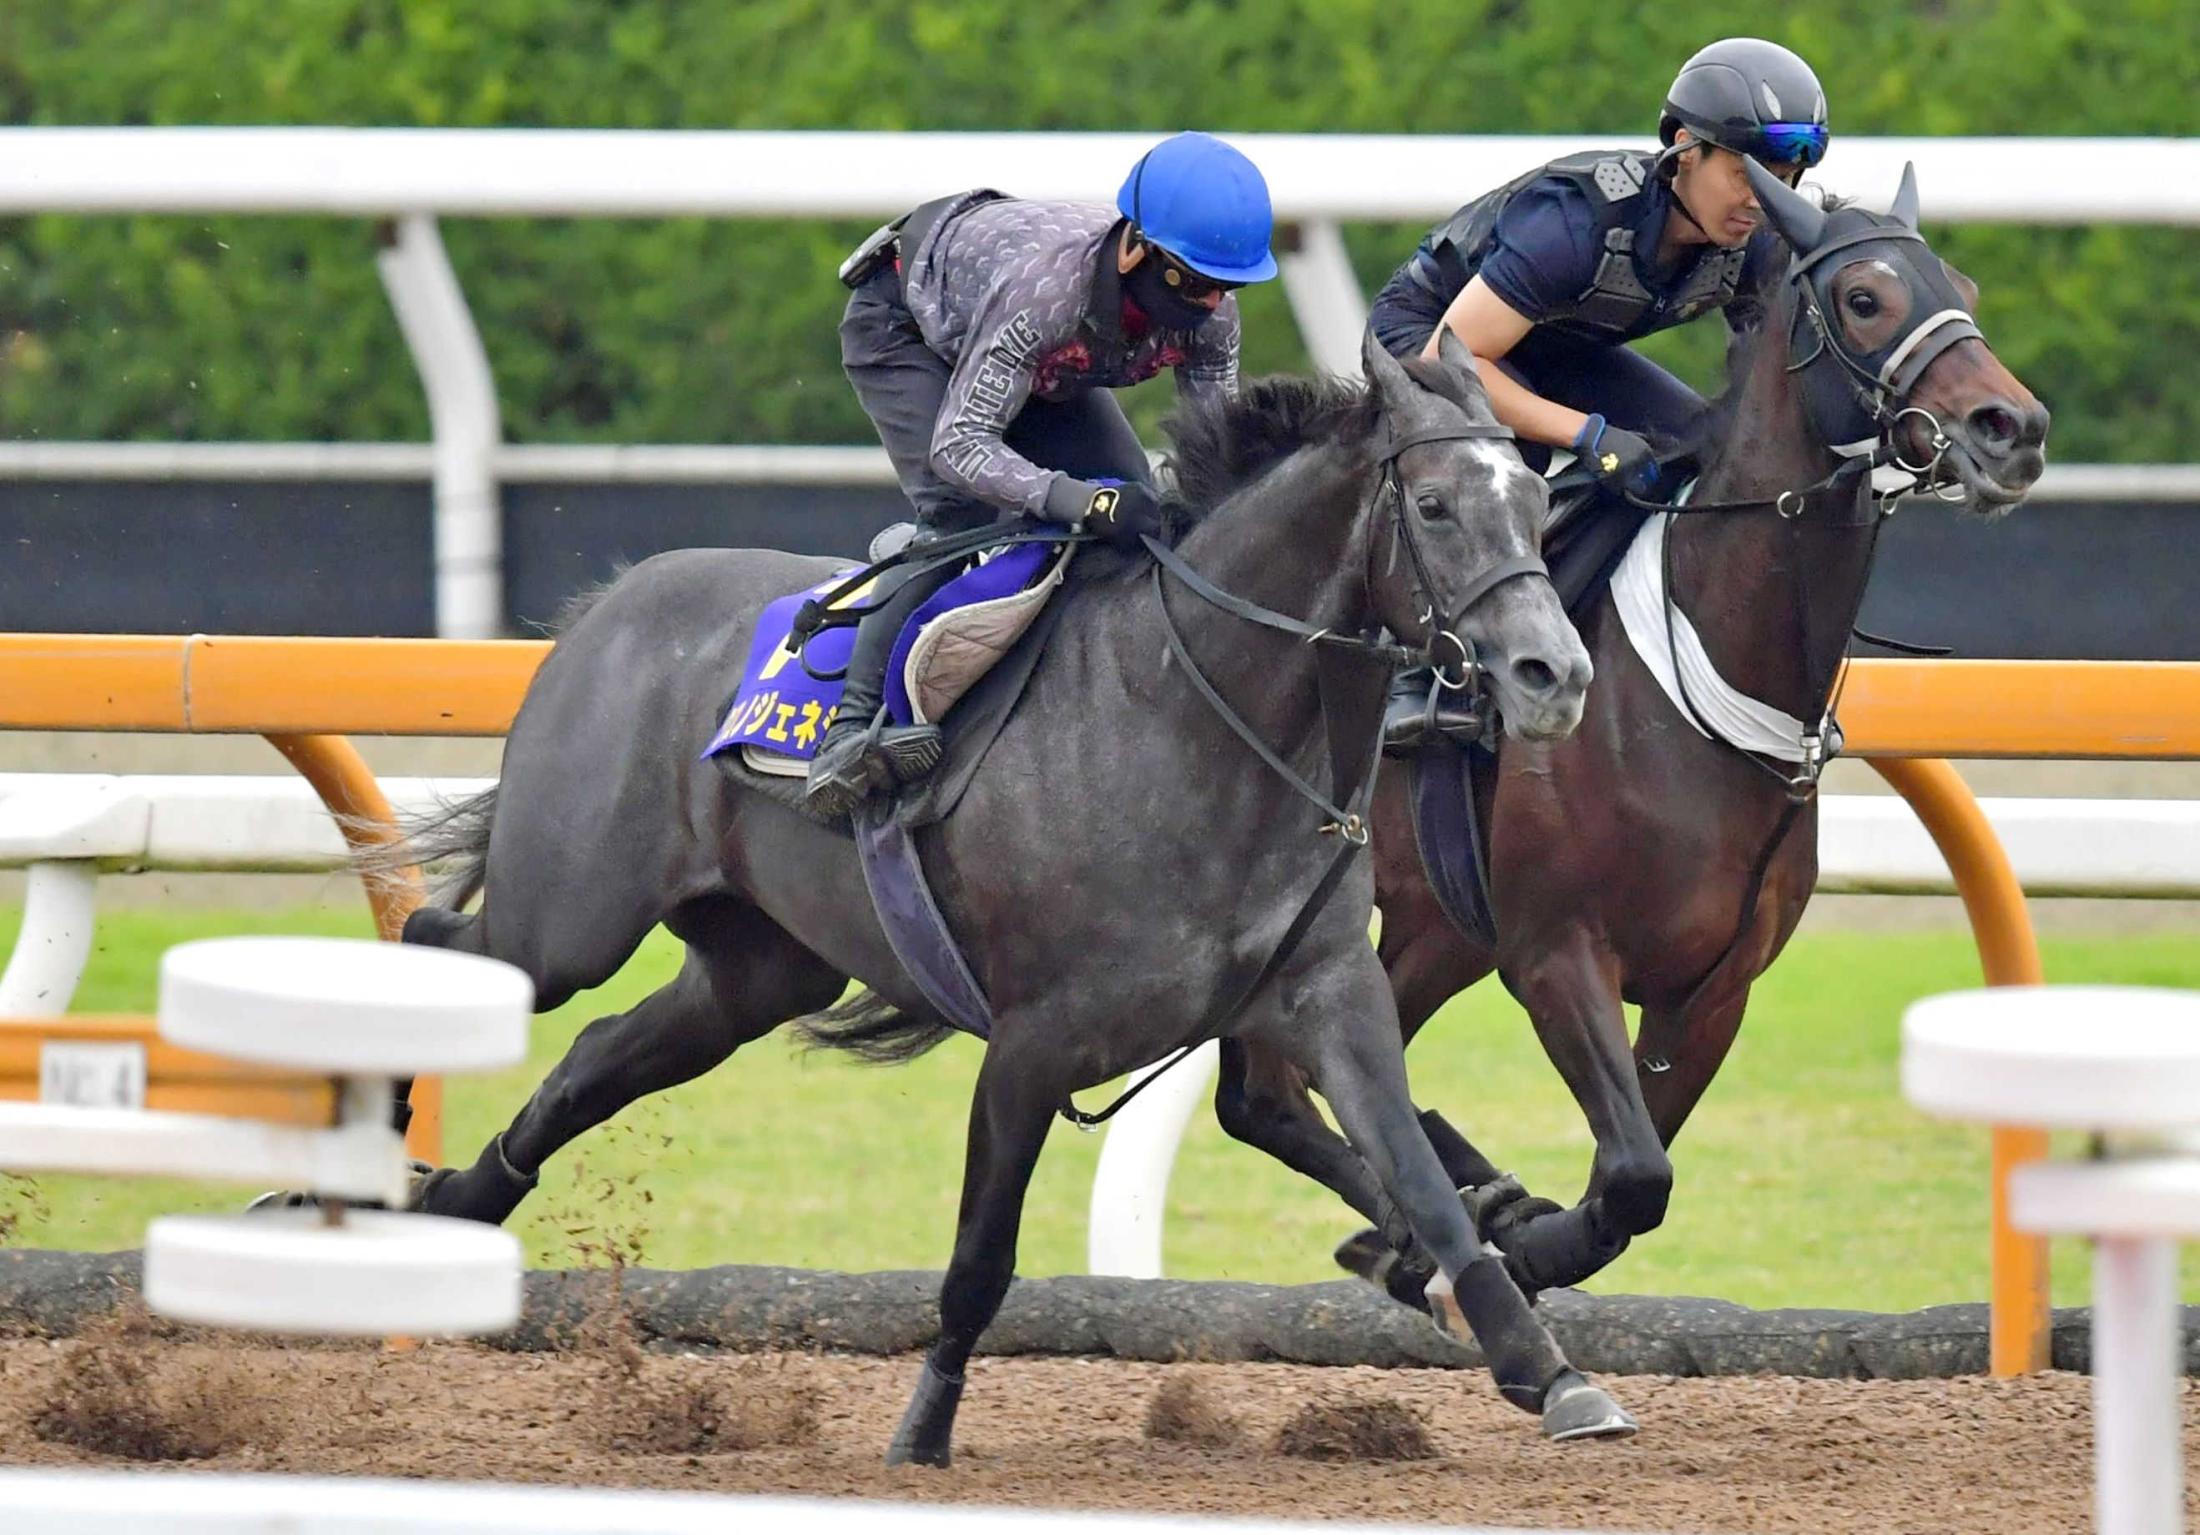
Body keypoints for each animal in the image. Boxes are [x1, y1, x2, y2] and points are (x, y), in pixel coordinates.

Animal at [387, 334, 1645, 1460]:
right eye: (1432, 506)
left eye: (1534, 501)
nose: (1555, 675)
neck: (1196, 720)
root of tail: (606, 604)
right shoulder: (1032, 1044)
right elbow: (981, 1258)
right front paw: (922, 1431)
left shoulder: (1331, 995)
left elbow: (1423, 1184)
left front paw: (1545, 1365)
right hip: (574, 911)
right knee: (445, 937)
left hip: (757, 967)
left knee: (599, 1049)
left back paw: (459, 1197)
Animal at [1214, 158, 2050, 1301]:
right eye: (1864, 298)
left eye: (1957, 281)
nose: (2015, 429)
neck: (1697, 687)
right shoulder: (1557, 954)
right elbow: (1633, 1173)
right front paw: (1514, 1243)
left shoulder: (1711, 991)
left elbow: (1637, 1181)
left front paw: (1510, 1232)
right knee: (1262, 1088)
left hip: (1437, 925)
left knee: (1282, 1082)